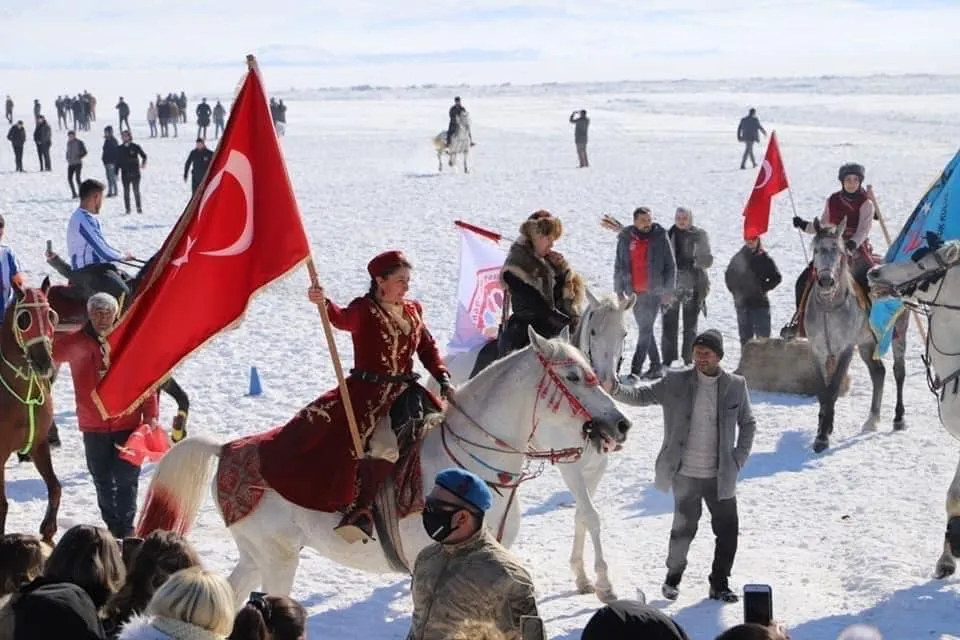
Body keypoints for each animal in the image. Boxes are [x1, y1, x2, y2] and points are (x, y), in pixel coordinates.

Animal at [436, 290, 636, 600]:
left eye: (624, 333)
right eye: (593, 331)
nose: (606, 380)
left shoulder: (596, 467)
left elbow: (583, 515)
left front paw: (582, 575)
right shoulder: (570, 467)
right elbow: (590, 515)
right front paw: (604, 583)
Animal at [808, 218, 904, 452]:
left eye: (840, 252)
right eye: (816, 250)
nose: (826, 281)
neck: (829, 307)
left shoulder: (846, 349)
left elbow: (833, 389)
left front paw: (822, 437)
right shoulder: (818, 351)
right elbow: (822, 391)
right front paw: (823, 428)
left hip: (898, 335)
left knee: (899, 371)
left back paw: (898, 419)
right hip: (867, 344)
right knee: (878, 373)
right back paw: (872, 419)